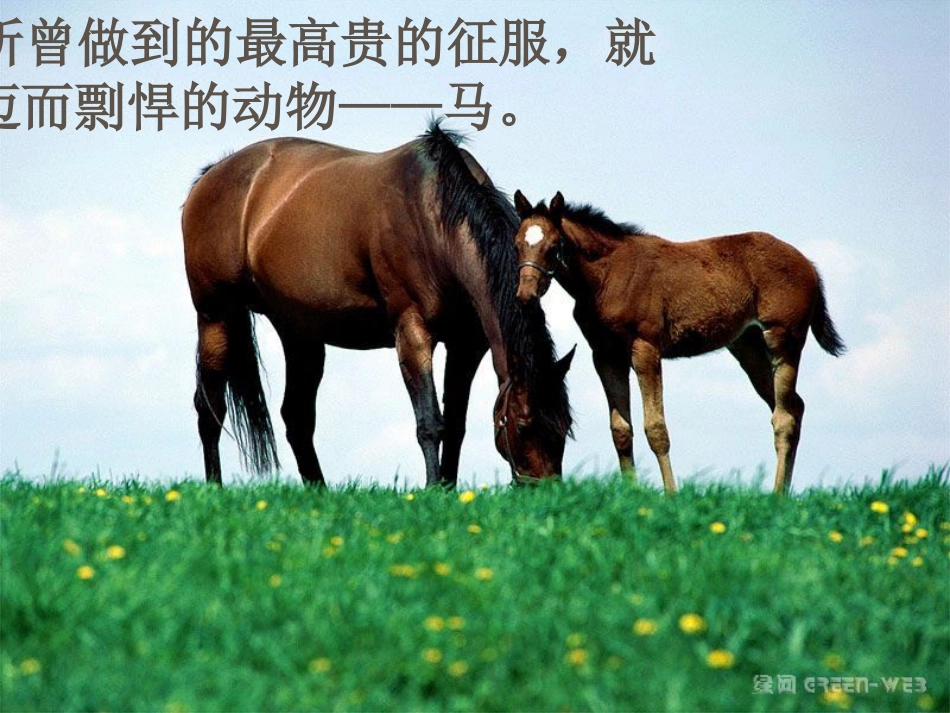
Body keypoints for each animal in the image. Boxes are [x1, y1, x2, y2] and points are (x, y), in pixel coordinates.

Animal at [180, 122, 574, 488]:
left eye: (565, 425)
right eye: (523, 424)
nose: (546, 492)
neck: (433, 217)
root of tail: (210, 176)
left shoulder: (466, 345)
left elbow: (456, 424)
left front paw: (448, 489)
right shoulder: (412, 333)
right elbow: (430, 422)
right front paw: (433, 489)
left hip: (300, 334)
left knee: (296, 416)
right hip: (216, 315)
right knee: (209, 407)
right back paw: (214, 487)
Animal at [511, 190, 845, 494]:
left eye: (553, 246)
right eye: (517, 244)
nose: (525, 295)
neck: (608, 276)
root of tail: (809, 264)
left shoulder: (646, 348)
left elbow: (656, 427)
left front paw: (671, 494)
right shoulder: (606, 355)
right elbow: (621, 430)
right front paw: (631, 494)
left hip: (783, 339)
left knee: (784, 416)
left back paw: (777, 495)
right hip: (747, 346)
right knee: (795, 406)